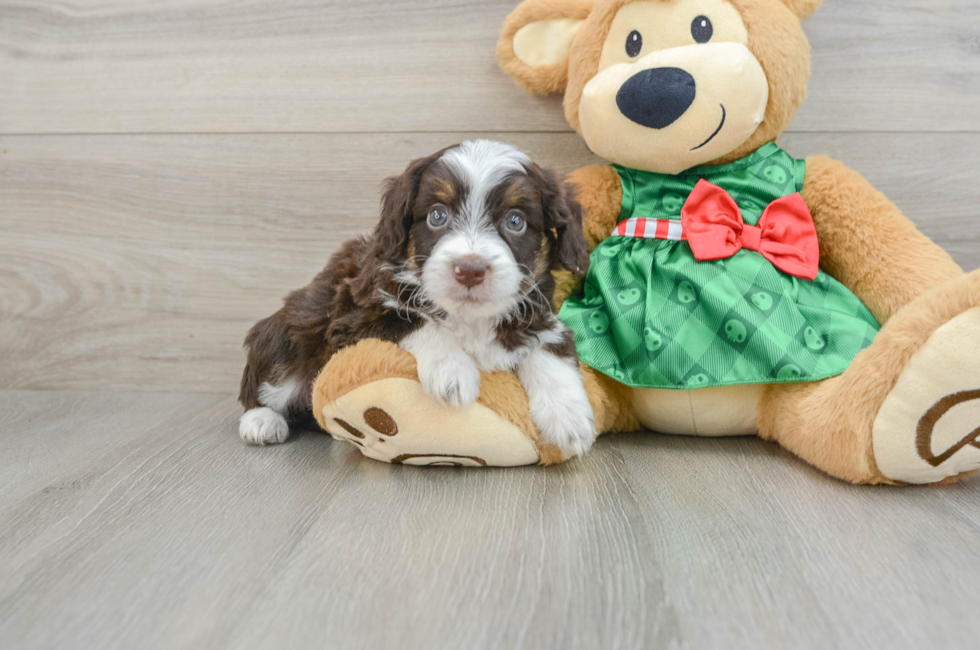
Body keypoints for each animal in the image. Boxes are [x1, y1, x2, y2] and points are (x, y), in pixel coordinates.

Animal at [237, 140, 596, 456]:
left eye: (516, 221)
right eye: (437, 216)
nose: (470, 270)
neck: (469, 317)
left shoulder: (538, 313)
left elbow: (549, 346)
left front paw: (570, 418)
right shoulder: (354, 317)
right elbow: (413, 319)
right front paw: (452, 370)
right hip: (288, 332)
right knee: (265, 385)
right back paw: (261, 421)